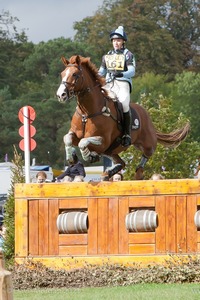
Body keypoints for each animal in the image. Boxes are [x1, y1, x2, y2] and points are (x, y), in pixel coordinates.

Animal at [56, 55, 189, 179]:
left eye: (75, 74)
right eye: (62, 74)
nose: (60, 95)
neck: (87, 113)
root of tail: (145, 114)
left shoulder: (103, 141)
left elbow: (83, 142)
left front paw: (89, 156)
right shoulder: (76, 135)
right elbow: (67, 138)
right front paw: (72, 157)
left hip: (147, 143)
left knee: (146, 156)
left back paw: (138, 173)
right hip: (111, 151)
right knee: (122, 163)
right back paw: (108, 173)